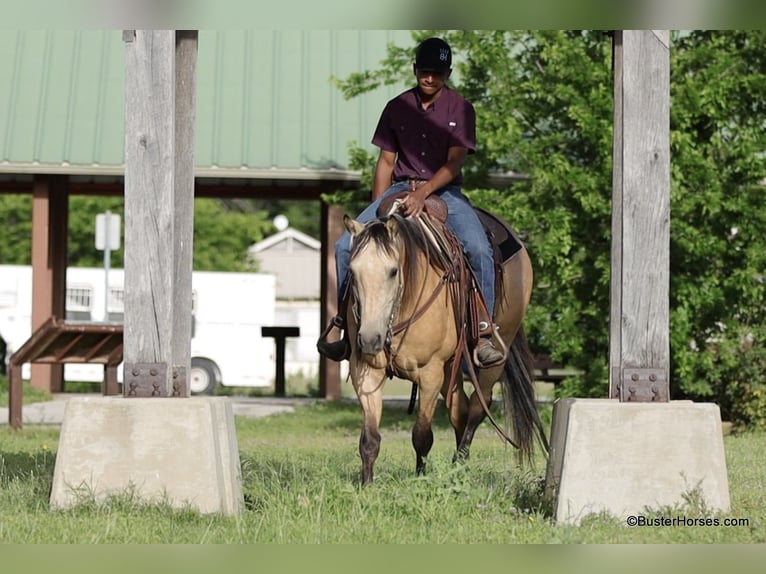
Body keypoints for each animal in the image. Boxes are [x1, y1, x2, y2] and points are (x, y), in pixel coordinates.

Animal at [343, 209, 548, 484]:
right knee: (459, 410)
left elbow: (422, 435)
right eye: (353, 272)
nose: (368, 339)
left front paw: (420, 479)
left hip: (496, 353)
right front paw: (367, 485)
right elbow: (369, 439)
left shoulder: (430, 373)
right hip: (452, 367)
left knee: (478, 406)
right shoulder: (365, 370)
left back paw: (459, 463)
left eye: (393, 271)